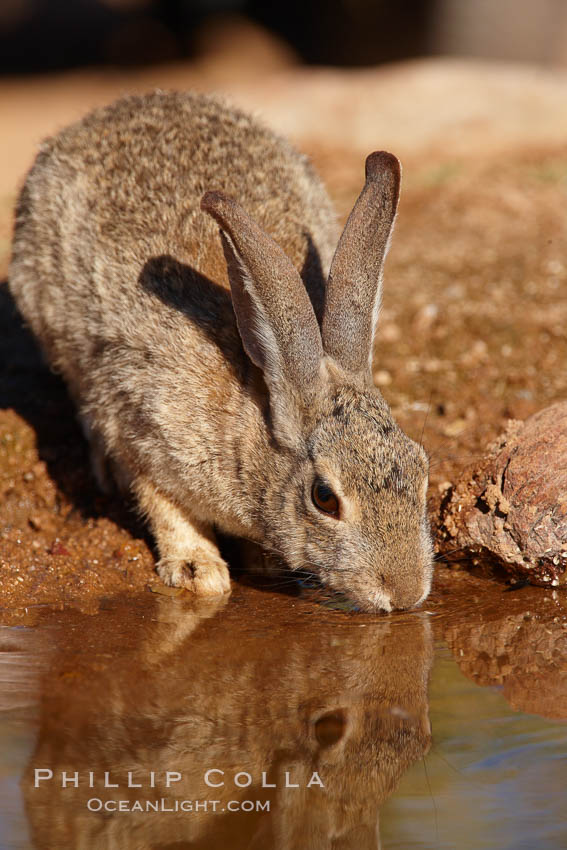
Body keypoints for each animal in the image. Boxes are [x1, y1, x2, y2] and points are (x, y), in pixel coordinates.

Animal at [8, 91, 432, 608]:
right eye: (324, 497)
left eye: (421, 468)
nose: (407, 594)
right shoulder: (143, 427)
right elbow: (163, 504)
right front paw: (199, 571)